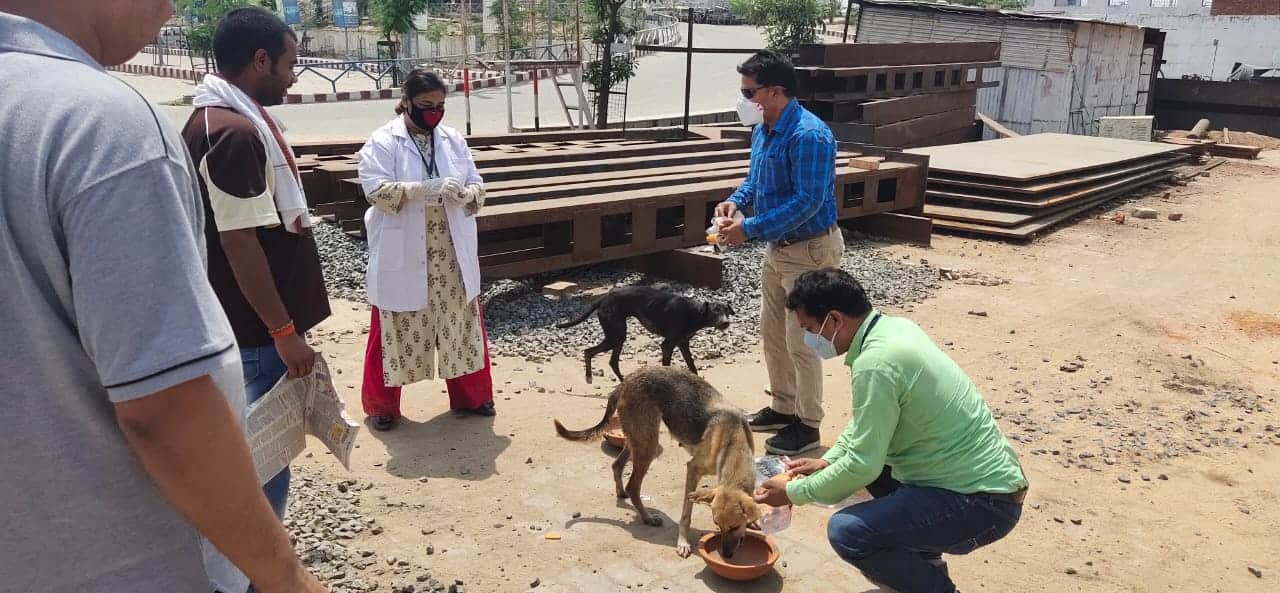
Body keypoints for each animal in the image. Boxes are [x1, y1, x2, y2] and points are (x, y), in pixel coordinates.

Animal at [552, 368, 757, 558]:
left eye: (735, 526)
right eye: (717, 525)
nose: (726, 555)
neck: (732, 441)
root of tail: (627, 381)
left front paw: (754, 521)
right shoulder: (693, 469)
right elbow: (686, 515)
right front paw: (683, 542)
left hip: (638, 440)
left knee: (617, 465)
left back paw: (621, 493)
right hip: (648, 445)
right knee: (633, 486)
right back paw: (647, 518)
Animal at [555, 288, 737, 384]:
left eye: (727, 311)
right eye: (715, 311)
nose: (725, 323)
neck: (694, 312)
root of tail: (603, 300)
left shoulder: (683, 343)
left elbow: (692, 367)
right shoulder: (667, 345)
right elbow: (668, 366)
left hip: (618, 336)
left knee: (612, 361)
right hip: (615, 335)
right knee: (588, 352)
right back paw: (589, 376)